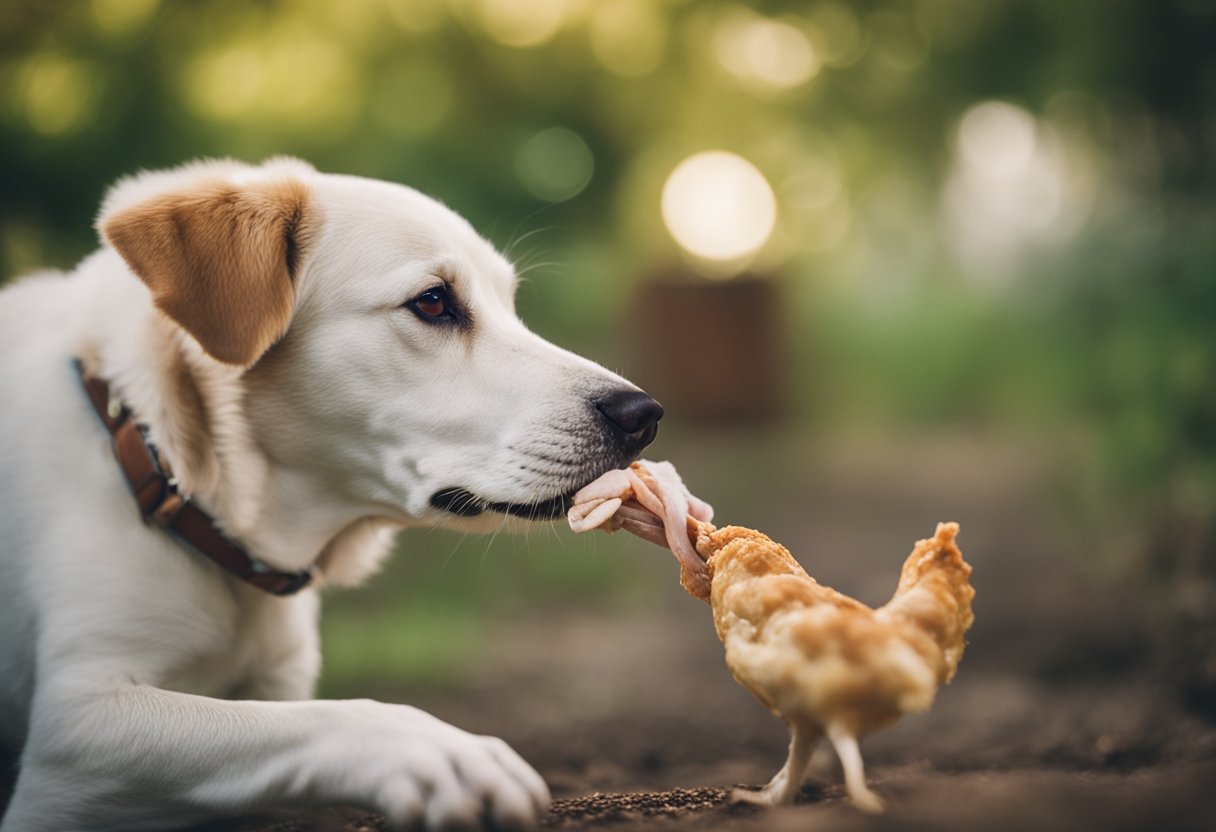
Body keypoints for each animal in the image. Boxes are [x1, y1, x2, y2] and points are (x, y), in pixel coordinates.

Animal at [0, 159, 666, 827]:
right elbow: (298, 721)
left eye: (510, 304)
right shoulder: (74, 732)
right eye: (433, 301)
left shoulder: (275, 684)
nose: (643, 415)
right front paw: (432, 750)